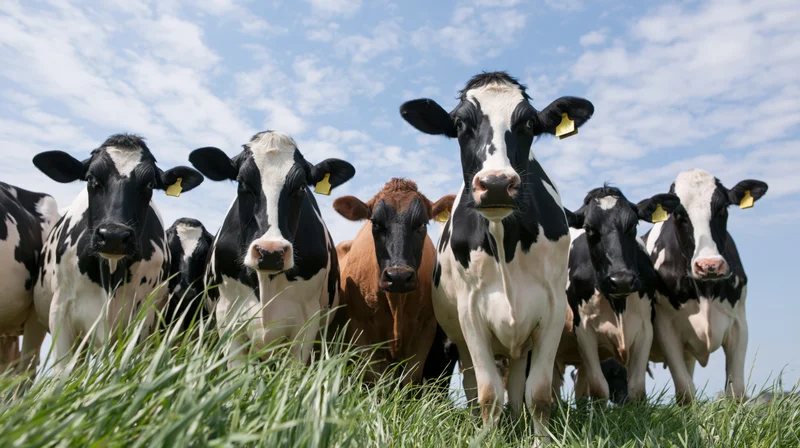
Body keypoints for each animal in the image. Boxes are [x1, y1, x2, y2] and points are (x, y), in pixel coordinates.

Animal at [331, 178, 455, 385]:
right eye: (375, 223)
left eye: (422, 224)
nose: (398, 277)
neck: (397, 304)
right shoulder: (361, 331)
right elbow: (375, 380)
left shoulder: (425, 332)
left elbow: (410, 380)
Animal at [399, 71, 594, 441]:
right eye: (460, 124)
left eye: (529, 123)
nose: (497, 185)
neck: (506, 244)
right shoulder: (470, 312)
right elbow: (488, 393)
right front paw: (486, 438)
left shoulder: (552, 309)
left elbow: (539, 393)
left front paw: (538, 441)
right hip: (461, 342)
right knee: (474, 387)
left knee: (517, 385)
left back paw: (516, 425)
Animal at [559, 186, 680, 402]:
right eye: (589, 229)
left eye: (633, 225)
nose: (621, 280)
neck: (618, 306)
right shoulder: (583, 330)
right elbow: (599, 388)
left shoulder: (645, 328)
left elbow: (637, 390)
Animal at [644, 169, 767, 403]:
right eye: (678, 215)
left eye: (723, 209)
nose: (709, 265)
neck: (705, 291)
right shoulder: (666, 327)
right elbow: (686, 391)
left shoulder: (739, 324)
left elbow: (736, 391)